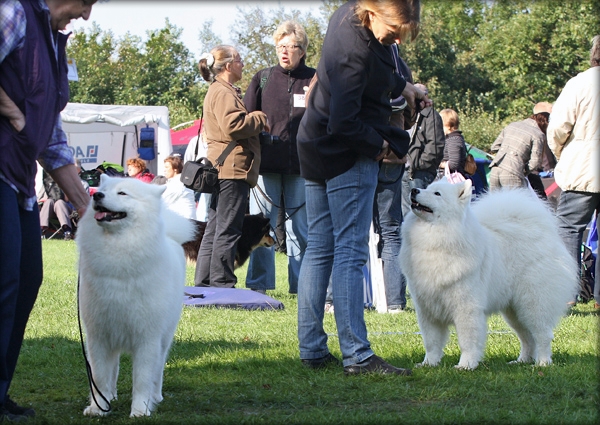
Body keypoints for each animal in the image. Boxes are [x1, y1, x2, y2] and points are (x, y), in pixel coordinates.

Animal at [77, 174, 195, 416]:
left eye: (122, 193)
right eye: (103, 189)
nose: (97, 195)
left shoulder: (147, 338)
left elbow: (142, 378)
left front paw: (140, 409)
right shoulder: (99, 335)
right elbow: (99, 376)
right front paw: (98, 407)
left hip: (164, 338)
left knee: (158, 370)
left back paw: (156, 396)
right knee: (113, 369)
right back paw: (111, 396)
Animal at [400, 179, 580, 368]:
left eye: (437, 194)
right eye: (426, 188)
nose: (414, 190)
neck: (436, 237)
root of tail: (547, 236)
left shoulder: (466, 307)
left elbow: (467, 340)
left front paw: (466, 365)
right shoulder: (427, 309)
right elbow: (431, 342)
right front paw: (429, 363)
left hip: (533, 304)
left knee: (543, 335)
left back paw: (542, 363)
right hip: (514, 312)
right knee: (527, 338)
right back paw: (521, 361)